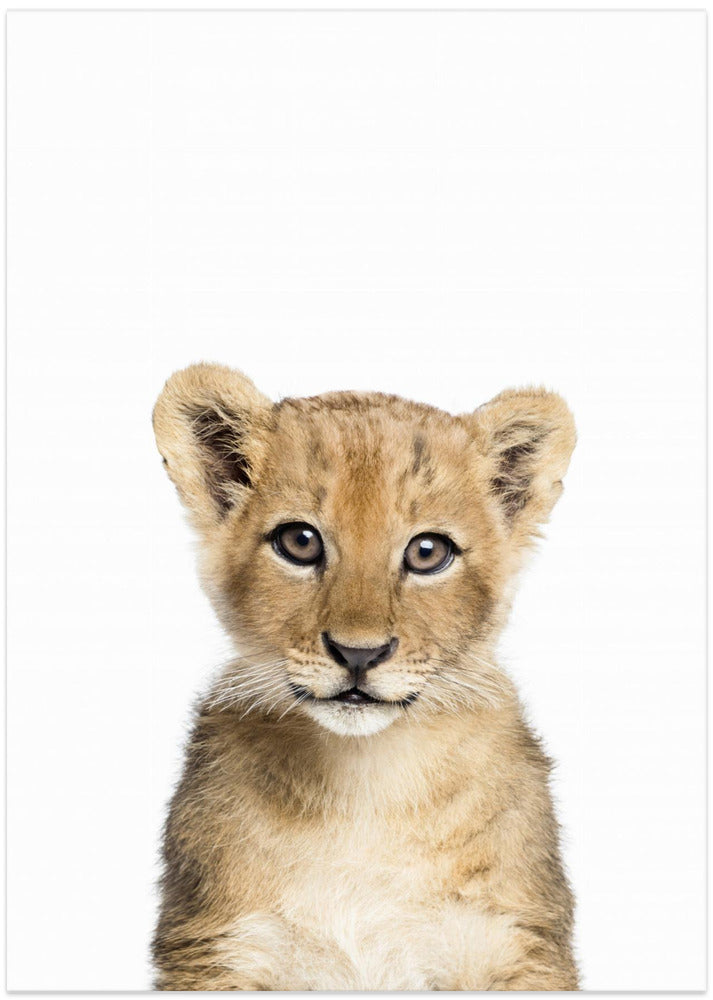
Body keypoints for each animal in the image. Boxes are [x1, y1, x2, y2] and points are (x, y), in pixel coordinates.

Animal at [151, 362, 579, 990]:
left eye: (428, 552)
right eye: (299, 542)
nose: (358, 654)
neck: (365, 786)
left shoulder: (517, 943)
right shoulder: (217, 947)